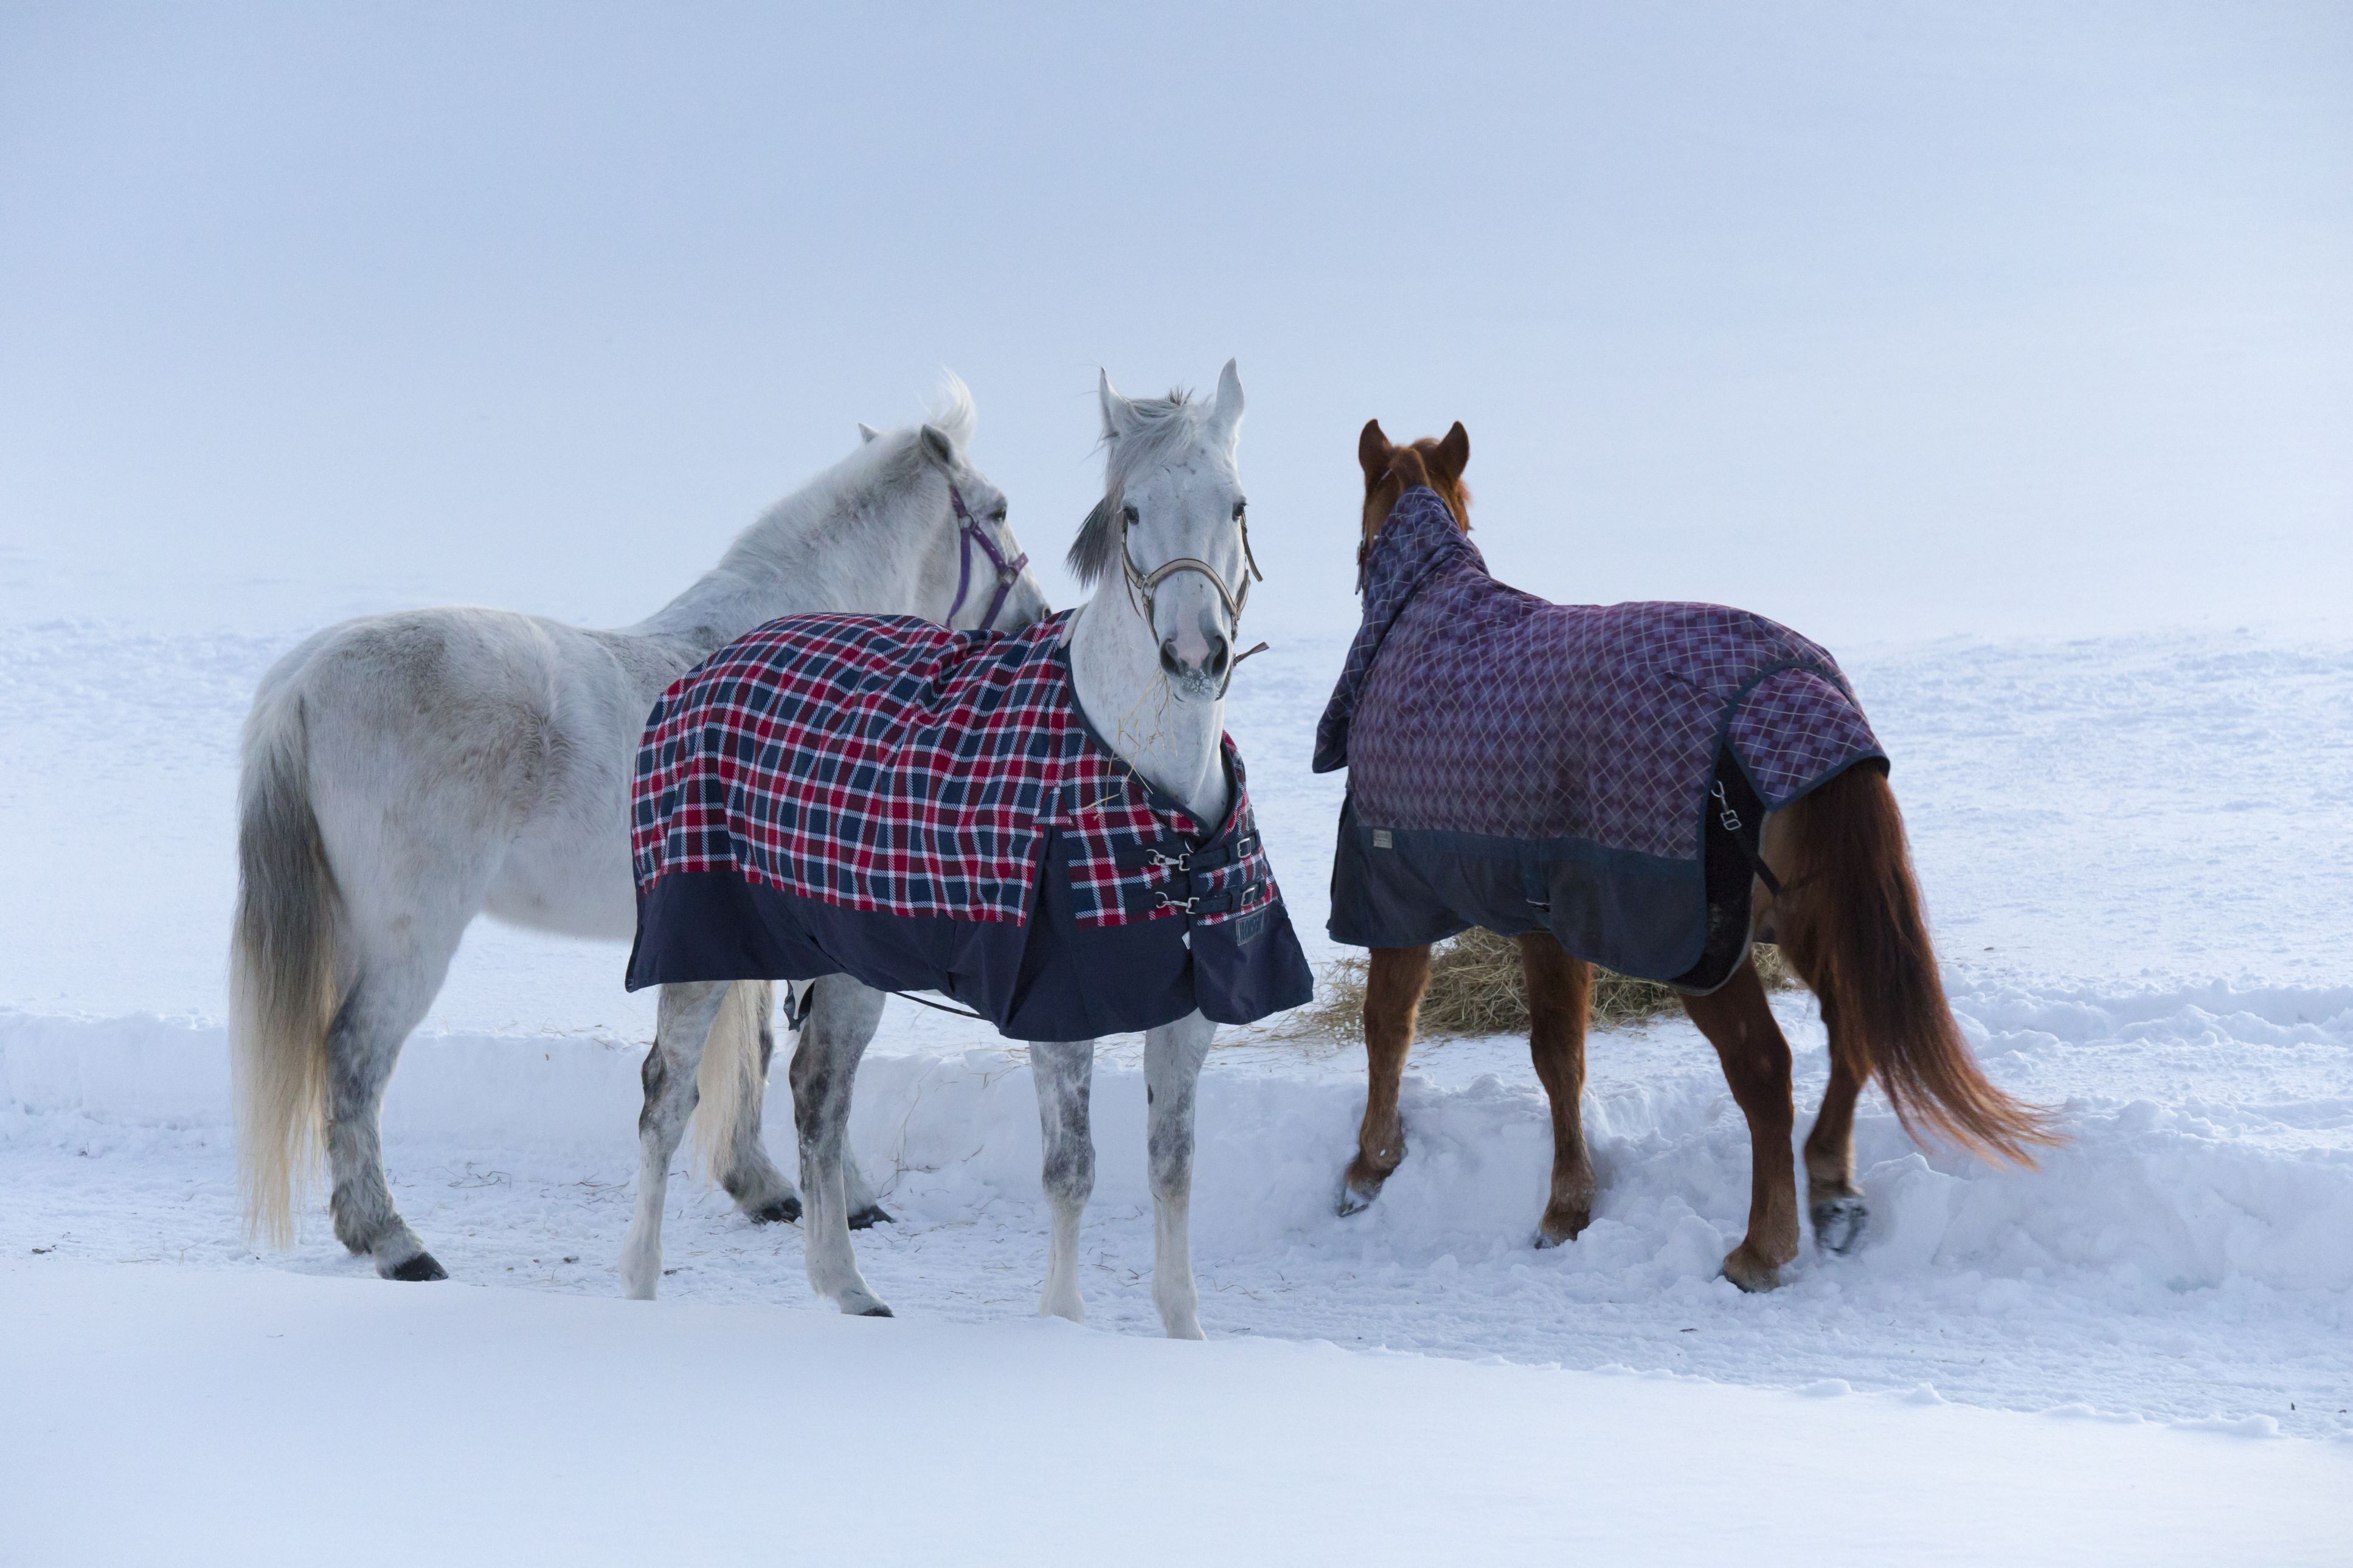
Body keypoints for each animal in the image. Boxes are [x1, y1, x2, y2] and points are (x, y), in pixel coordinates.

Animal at [229, 383, 1040, 1288]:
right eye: (999, 510)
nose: (1036, 618)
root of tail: (301, 682)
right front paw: (844, 1198)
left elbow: (754, 1050)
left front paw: (764, 1186)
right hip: (409, 937)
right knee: (353, 1058)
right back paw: (395, 1241)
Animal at [626, 362, 1317, 1335]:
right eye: (1130, 512)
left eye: (1237, 504)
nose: (1193, 655)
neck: (1144, 786)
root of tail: (706, 668)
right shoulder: (1059, 1010)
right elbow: (1072, 1169)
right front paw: (1062, 1319)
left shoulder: (1190, 1011)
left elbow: (1172, 1167)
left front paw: (1182, 1330)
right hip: (703, 949)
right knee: (667, 1096)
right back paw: (640, 1286)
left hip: (847, 961)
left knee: (817, 1096)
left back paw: (847, 1287)